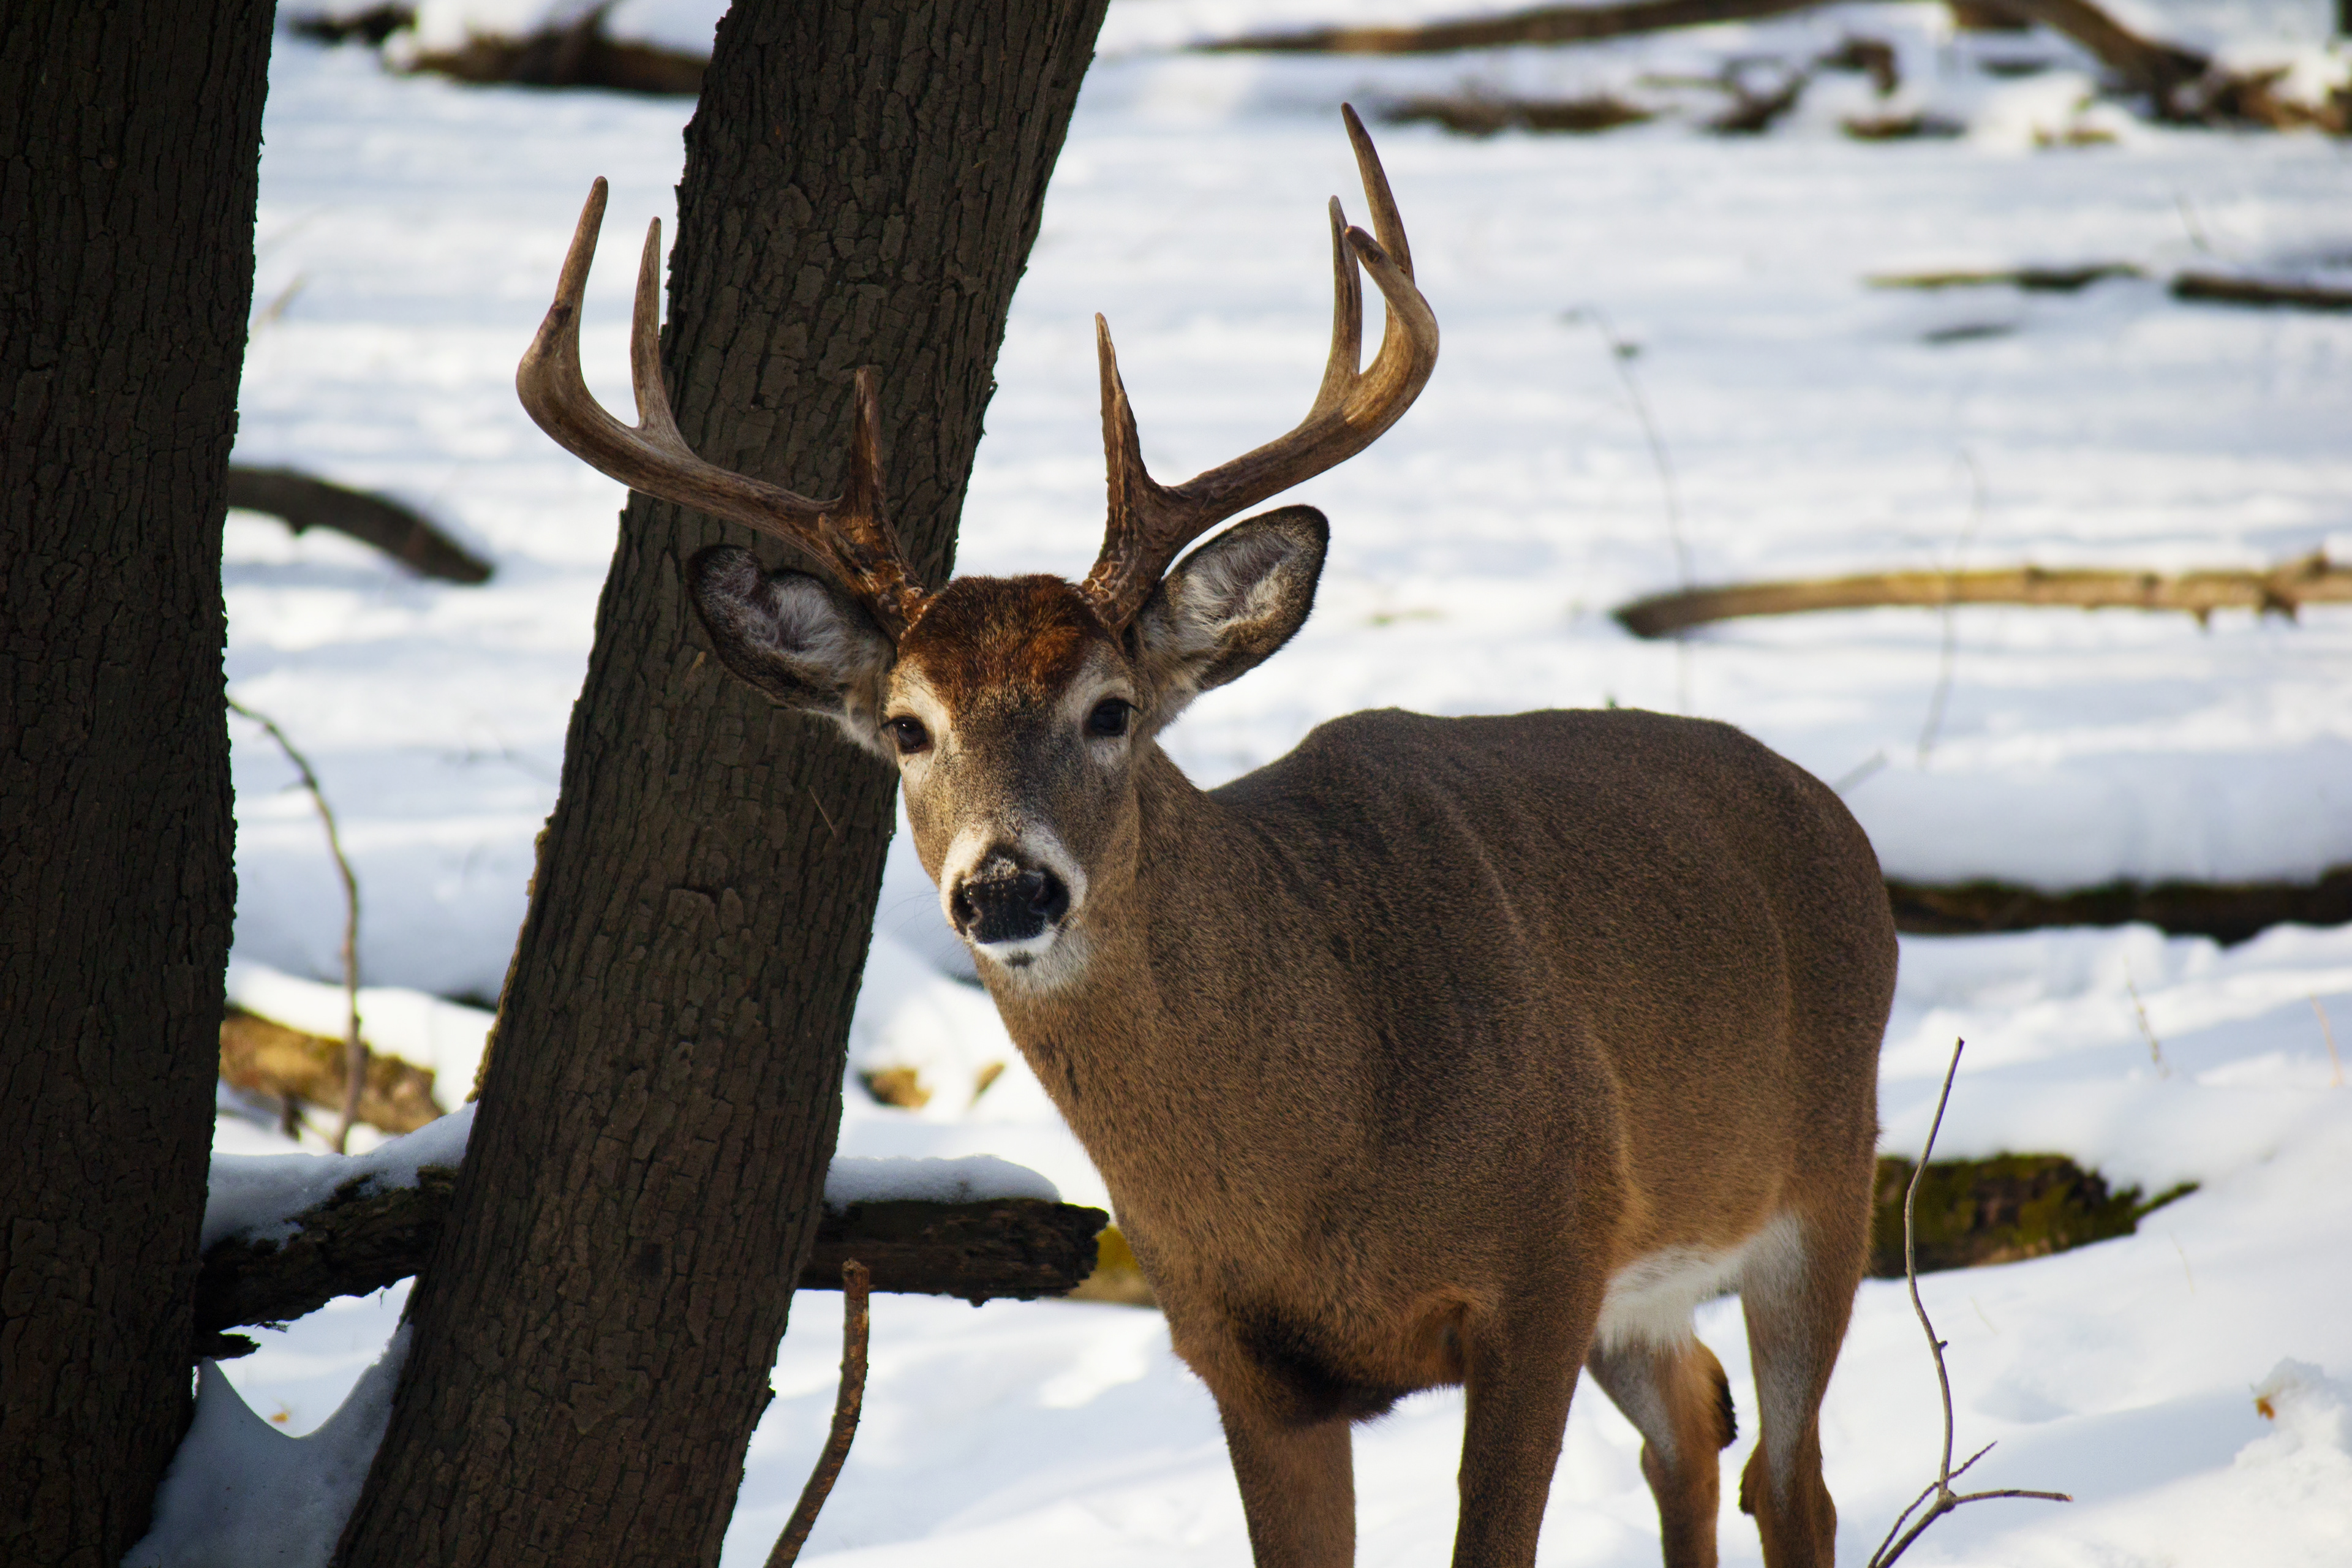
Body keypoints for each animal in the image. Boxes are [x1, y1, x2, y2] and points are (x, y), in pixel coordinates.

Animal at [518, 107, 1896, 1568]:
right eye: (904, 726)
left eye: (1111, 709)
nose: (1007, 887)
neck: (1324, 1140)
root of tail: (1828, 811)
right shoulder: (1243, 1359)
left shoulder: (1546, 1260)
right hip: (1658, 1280)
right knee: (1692, 1418)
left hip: (1823, 1179)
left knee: (1791, 1477)